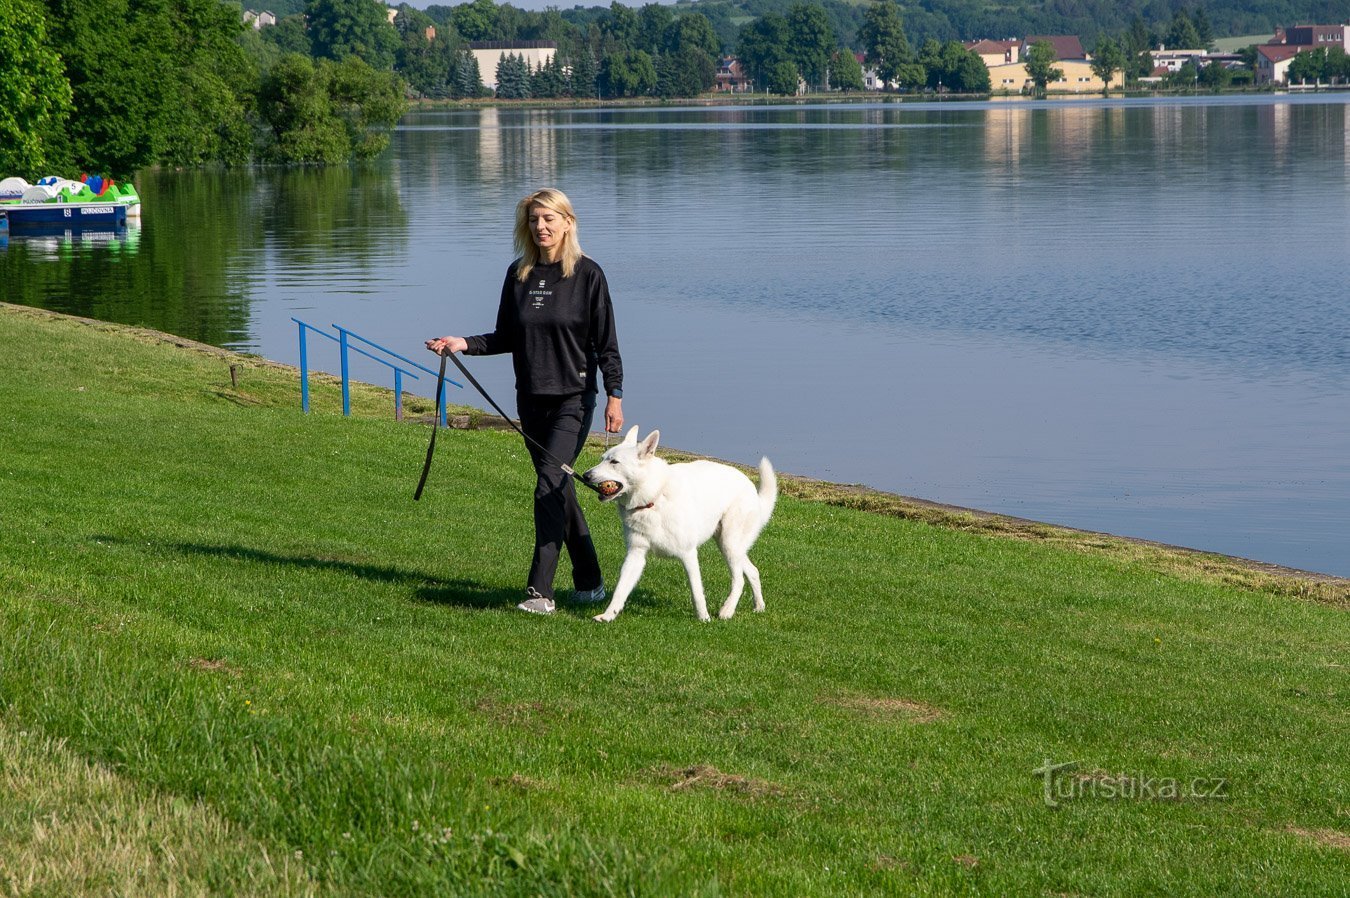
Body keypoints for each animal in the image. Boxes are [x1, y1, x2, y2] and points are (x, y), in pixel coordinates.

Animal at [583, 426, 783, 623]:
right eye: (602, 459)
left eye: (614, 462)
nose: (585, 475)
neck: (654, 498)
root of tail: (752, 490)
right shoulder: (635, 555)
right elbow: (621, 589)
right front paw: (609, 615)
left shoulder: (688, 554)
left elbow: (697, 592)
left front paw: (704, 618)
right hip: (728, 545)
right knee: (752, 571)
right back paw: (759, 606)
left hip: (729, 544)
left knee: (739, 579)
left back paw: (727, 610)